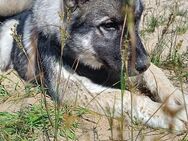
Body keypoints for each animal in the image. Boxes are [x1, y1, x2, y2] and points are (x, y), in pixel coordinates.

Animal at [0, 0, 187, 131]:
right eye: (109, 25)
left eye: (137, 20)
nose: (143, 65)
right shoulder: (72, 88)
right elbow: (126, 97)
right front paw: (167, 113)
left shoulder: (121, 69)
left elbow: (157, 73)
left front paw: (177, 97)